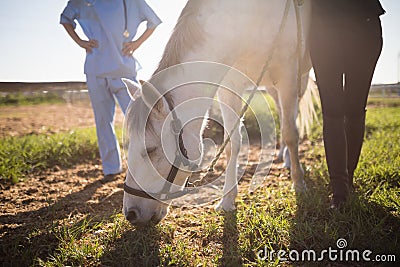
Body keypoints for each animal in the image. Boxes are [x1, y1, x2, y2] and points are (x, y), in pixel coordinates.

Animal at [120, 0, 314, 227]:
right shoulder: (230, 86)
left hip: (297, 80)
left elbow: (291, 133)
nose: (131, 214)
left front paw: (299, 185)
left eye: (150, 150)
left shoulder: (288, 77)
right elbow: (232, 143)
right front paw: (227, 200)